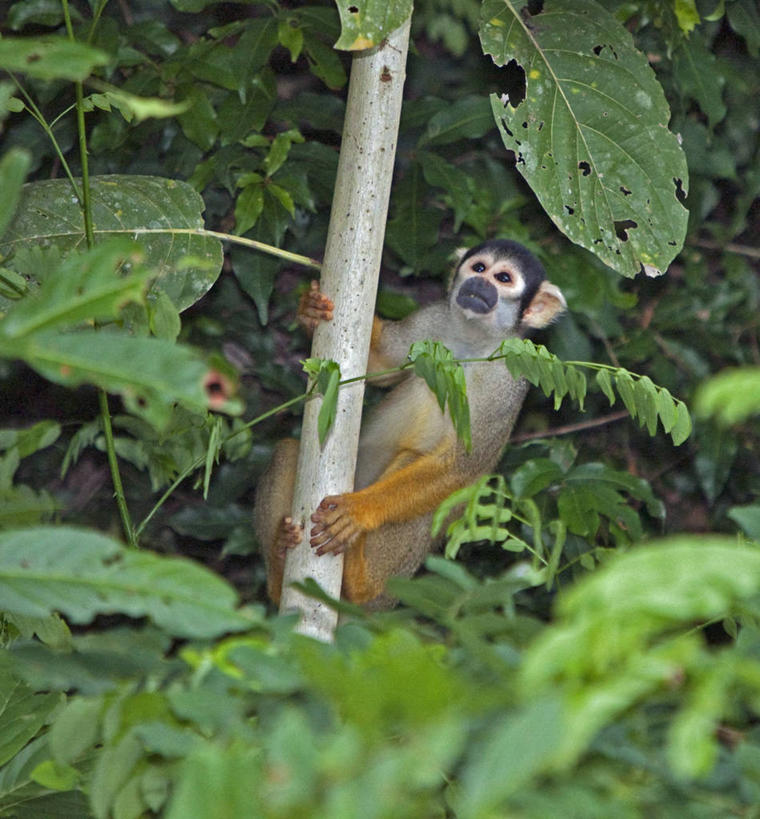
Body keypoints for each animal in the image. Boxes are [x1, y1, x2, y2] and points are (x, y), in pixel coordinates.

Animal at [255, 237, 564, 608]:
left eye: (503, 278)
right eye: (479, 268)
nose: (479, 284)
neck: (472, 340)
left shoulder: (509, 377)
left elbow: (461, 465)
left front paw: (360, 511)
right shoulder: (436, 317)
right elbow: (382, 363)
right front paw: (310, 311)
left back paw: (360, 582)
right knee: (287, 450)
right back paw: (278, 566)